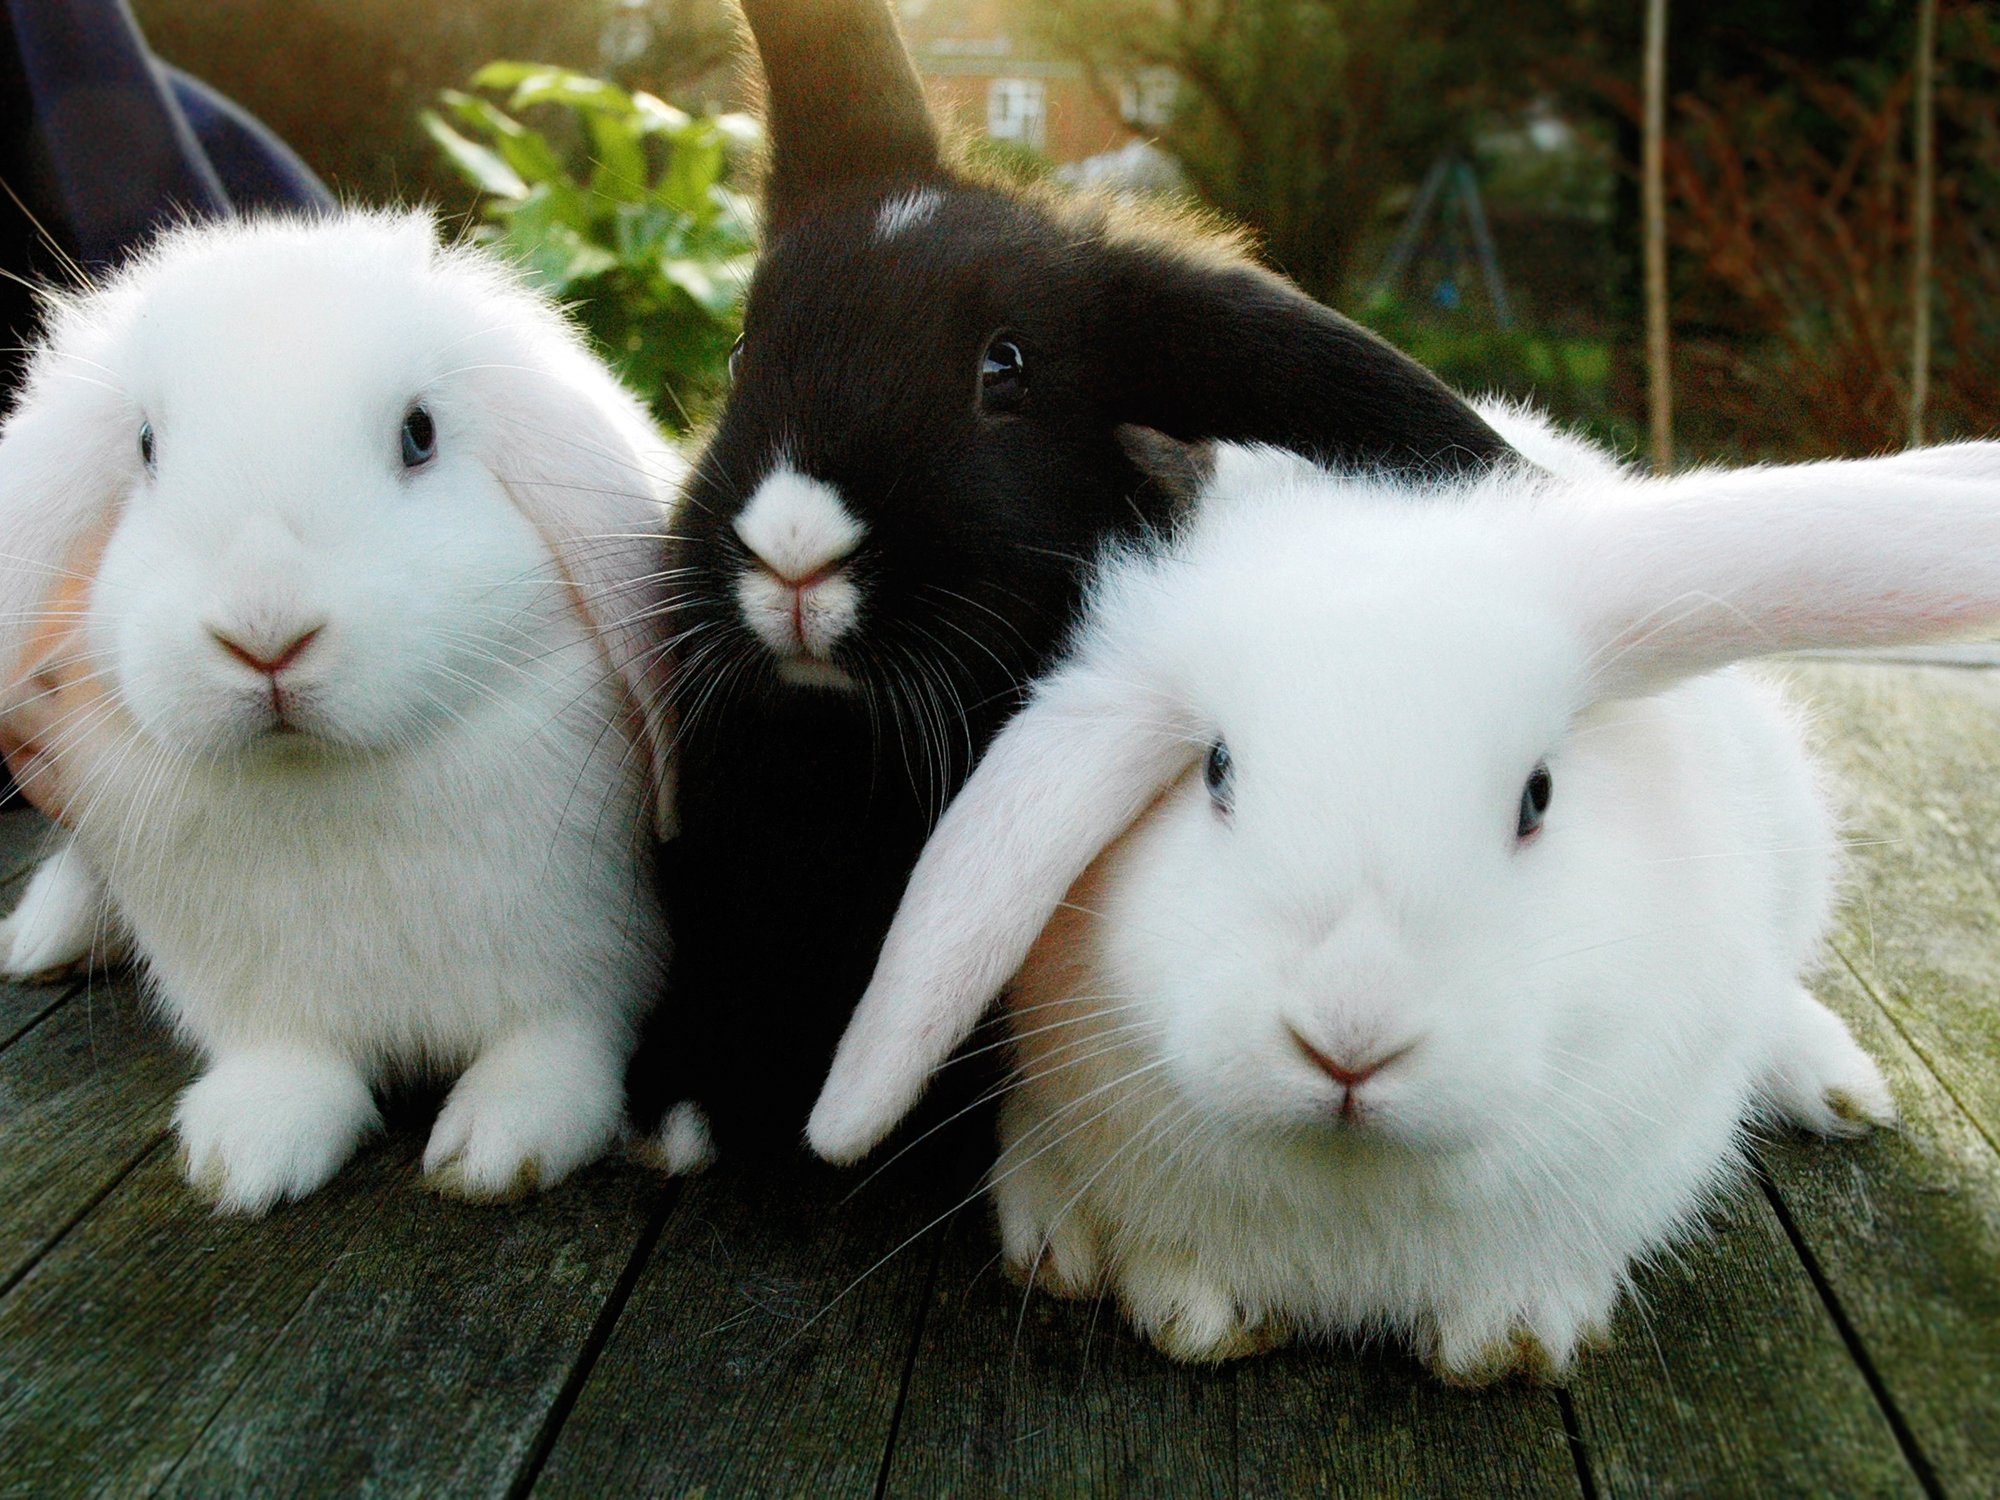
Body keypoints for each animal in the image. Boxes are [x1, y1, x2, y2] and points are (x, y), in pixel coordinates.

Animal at [0, 211, 680, 1214]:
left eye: (419, 434)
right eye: (146, 448)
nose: (265, 632)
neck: (326, 786)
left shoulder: (587, 962)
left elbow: (554, 1043)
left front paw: (500, 1147)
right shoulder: (259, 998)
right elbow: (290, 1064)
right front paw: (246, 1156)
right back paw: (40, 940)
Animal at [805, 401, 2000, 1382]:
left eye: (1536, 795)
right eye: (1216, 772)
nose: (1349, 1040)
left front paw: (1511, 1335)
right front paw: (1184, 1303)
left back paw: (1838, 1090)